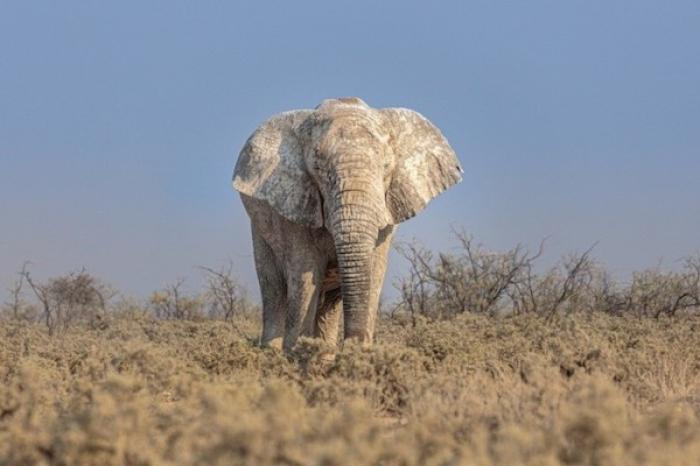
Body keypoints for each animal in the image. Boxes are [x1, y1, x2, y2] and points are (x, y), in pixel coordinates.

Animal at [235, 99, 462, 354]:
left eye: (386, 167)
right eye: (318, 169)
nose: (353, 345)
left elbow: (374, 273)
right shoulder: (295, 207)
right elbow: (305, 276)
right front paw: (296, 354)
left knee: (328, 305)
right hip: (260, 232)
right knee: (274, 291)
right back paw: (271, 352)